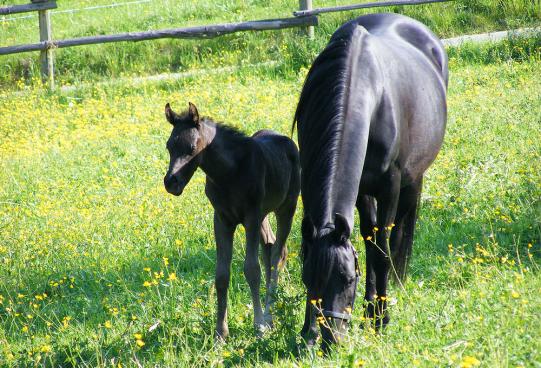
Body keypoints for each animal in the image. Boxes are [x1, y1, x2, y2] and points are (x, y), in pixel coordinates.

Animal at [162, 102, 302, 338]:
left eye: (192, 147)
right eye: (169, 146)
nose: (171, 183)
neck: (229, 174)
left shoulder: (251, 216)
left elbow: (251, 269)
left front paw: (258, 325)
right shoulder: (222, 219)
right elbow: (221, 275)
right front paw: (221, 332)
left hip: (285, 207)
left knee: (277, 255)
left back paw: (269, 314)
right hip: (263, 215)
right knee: (269, 247)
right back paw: (270, 316)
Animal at [294, 13, 446, 348]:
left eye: (348, 278)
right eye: (308, 277)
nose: (331, 339)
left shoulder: (388, 187)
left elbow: (380, 251)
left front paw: (381, 319)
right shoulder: (352, 190)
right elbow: (363, 240)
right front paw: (309, 331)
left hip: (413, 179)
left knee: (399, 231)